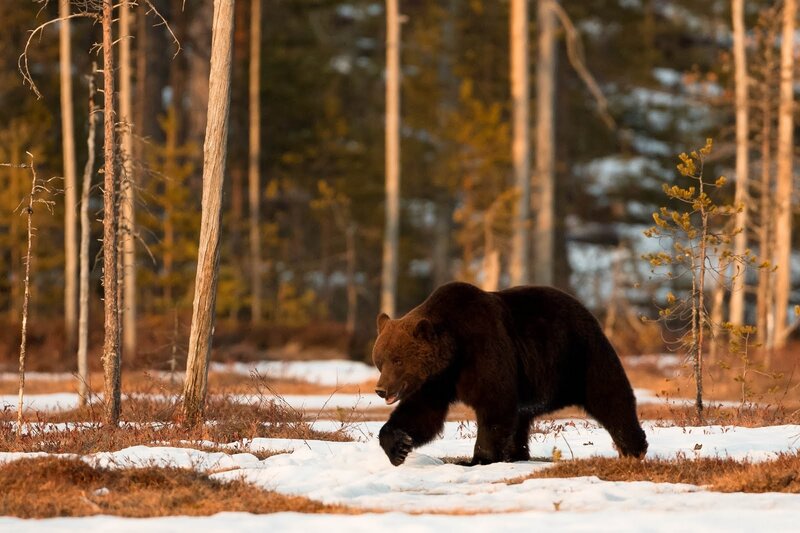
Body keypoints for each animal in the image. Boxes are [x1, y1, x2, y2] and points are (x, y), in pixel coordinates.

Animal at [371, 281, 648, 466]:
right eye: (380, 360)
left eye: (397, 360)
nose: (381, 389)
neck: (454, 352)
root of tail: (583, 305)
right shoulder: (437, 381)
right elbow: (423, 414)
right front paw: (399, 447)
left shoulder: (483, 350)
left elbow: (494, 403)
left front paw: (478, 458)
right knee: (521, 419)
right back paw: (517, 454)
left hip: (580, 355)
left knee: (609, 396)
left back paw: (634, 449)